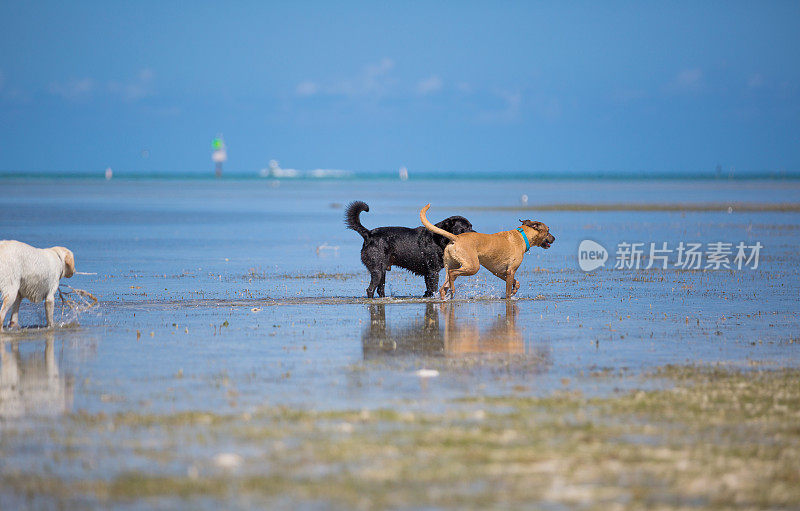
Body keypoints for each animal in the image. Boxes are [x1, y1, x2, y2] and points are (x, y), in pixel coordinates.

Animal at [418, 204, 556, 300]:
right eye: (548, 230)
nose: (554, 238)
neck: (522, 236)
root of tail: (456, 238)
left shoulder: (499, 272)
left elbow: (516, 283)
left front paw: (514, 290)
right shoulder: (510, 271)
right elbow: (508, 291)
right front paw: (509, 297)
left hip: (453, 264)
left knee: (444, 286)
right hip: (473, 266)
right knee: (452, 274)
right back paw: (452, 291)